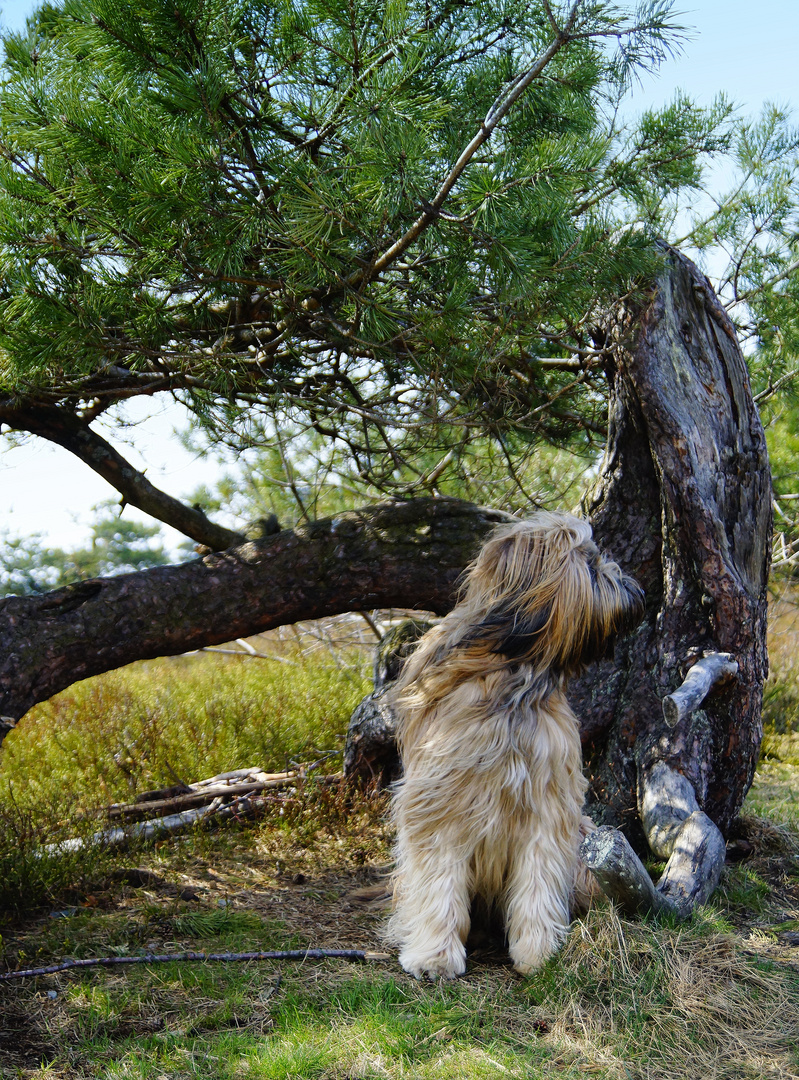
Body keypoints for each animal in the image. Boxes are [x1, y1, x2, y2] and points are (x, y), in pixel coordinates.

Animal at [386, 511, 643, 980]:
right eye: (591, 563)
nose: (641, 595)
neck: (513, 674)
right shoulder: (439, 801)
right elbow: (438, 882)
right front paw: (434, 955)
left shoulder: (548, 806)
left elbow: (538, 880)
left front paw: (539, 952)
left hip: (585, 847)